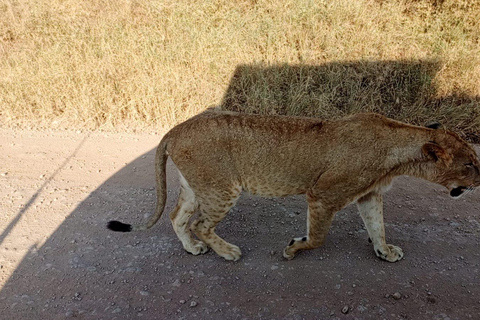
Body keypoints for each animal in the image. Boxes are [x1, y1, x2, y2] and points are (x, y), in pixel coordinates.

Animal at [109, 110, 480, 262]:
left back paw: (192, 248)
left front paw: (385, 252)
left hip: (196, 186)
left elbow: (378, 227)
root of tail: (176, 129)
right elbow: (317, 238)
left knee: (177, 217)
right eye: (470, 164)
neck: (398, 149)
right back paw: (227, 252)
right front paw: (292, 249)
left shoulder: (369, 195)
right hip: (221, 189)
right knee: (200, 223)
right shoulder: (323, 194)